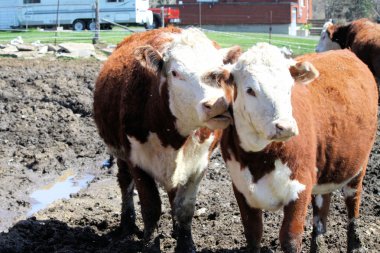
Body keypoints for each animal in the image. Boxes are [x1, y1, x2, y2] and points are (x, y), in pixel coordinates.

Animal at [93, 26, 240, 252]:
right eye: (175, 73)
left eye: (221, 74)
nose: (217, 104)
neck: (172, 136)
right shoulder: (136, 161)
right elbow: (151, 207)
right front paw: (148, 243)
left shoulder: (198, 164)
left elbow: (185, 208)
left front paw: (186, 243)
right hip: (119, 154)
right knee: (125, 183)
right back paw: (127, 225)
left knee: (173, 195)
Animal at [214, 42, 378, 252]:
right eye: (250, 90)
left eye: (289, 87)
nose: (285, 126)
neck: (259, 159)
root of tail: (346, 51)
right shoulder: (241, 189)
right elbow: (253, 234)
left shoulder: (300, 186)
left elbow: (290, 238)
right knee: (320, 216)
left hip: (358, 167)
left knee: (353, 205)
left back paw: (355, 243)